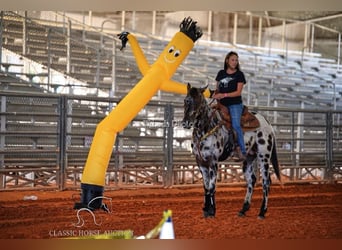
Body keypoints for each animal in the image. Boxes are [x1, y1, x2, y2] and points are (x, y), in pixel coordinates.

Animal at [182, 83, 280, 219]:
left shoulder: (213, 161)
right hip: (249, 158)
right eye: (186, 100)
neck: (207, 127)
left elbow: (212, 186)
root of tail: (267, 123)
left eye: (199, 101)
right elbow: (206, 187)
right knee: (251, 180)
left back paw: (262, 212)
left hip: (264, 156)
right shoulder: (201, 162)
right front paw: (206, 210)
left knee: (266, 182)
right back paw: (243, 209)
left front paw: (212, 211)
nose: (185, 122)